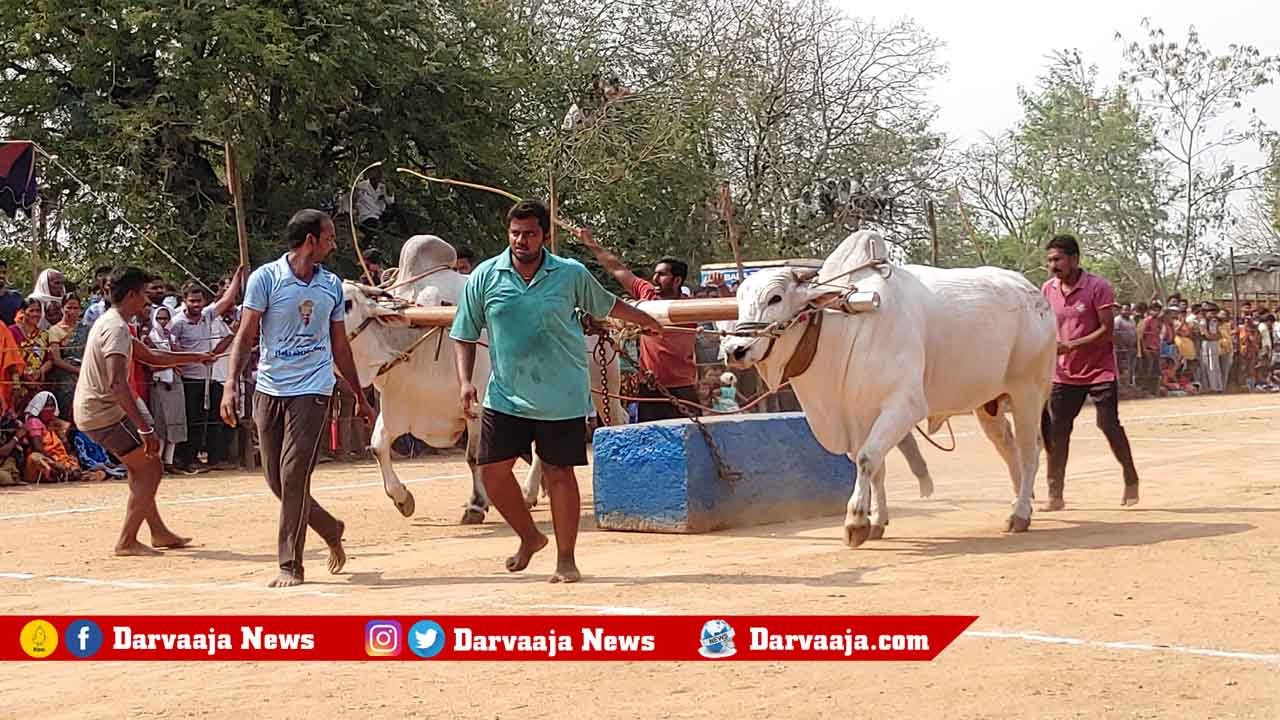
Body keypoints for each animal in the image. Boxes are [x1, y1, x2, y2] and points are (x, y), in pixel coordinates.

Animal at [345, 235, 624, 520]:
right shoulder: (396, 405)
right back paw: (532, 492)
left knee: (616, 417)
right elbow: (378, 445)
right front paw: (403, 498)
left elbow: (474, 457)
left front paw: (476, 504)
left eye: (348, 304)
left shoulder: (477, 409)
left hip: (600, 382)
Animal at [727, 229, 1054, 543]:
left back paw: (1021, 513)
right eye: (739, 301)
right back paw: (1020, 502)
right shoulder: (859, 417)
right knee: (1008, 448)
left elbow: (867, 459)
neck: (846, 327)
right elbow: (876, 467)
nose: (734, 350)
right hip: (989, 405)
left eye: (775, 298)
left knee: (1029, 452)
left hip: (1028, 393)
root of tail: (1034, 294)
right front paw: (876, 521)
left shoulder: (904, 406)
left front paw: (856, 521)